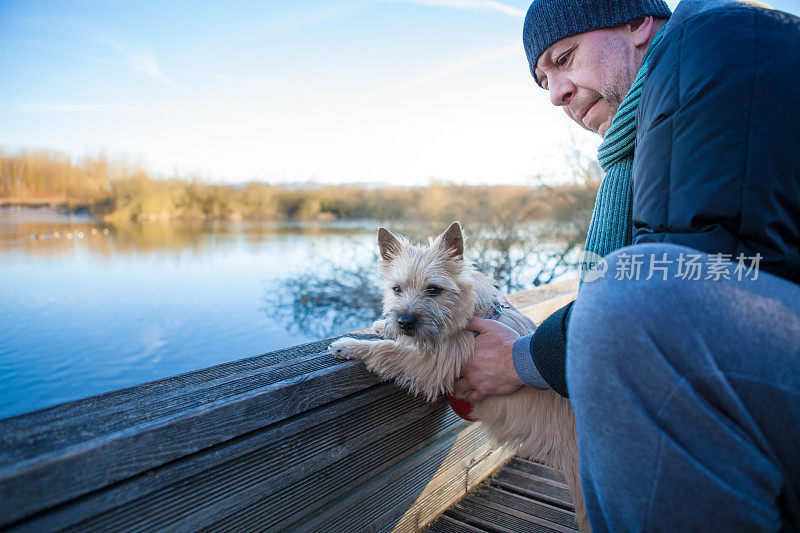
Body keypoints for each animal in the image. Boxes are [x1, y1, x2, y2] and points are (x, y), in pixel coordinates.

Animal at [326, 221, 588, 532]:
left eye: (434, 290)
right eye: (397, 289)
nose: (404, 321)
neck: (471, 312)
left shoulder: (432, 364)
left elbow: (390, 351)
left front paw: (351, 346)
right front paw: (382, 326)